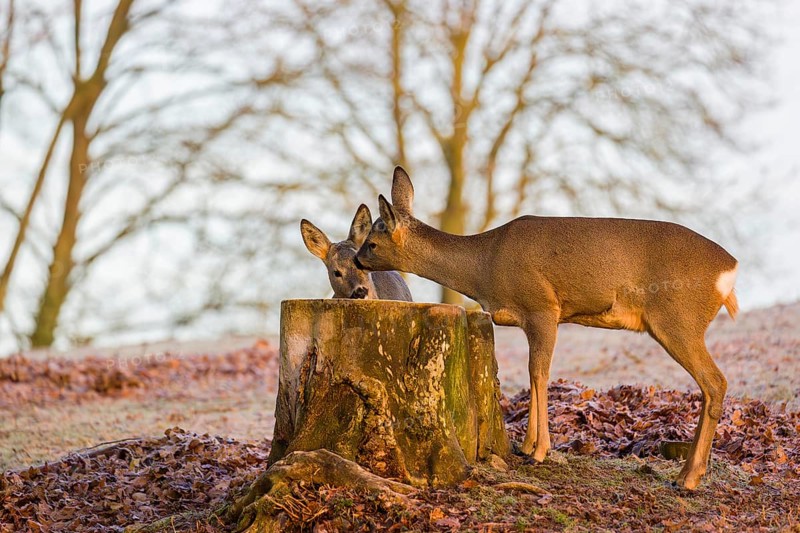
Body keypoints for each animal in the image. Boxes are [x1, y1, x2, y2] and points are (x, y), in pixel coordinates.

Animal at [354, 166, 739, 490]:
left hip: (679, 320)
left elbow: (539, 373)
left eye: (371, 242)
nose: (356, 260)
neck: (485, 266)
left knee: (715, 382)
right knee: (712, 385)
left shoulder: (543, 307)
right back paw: (689, 474)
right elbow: (532, 373)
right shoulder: (530, 318)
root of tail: (730, 269)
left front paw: (538, 450)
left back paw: (688, 478)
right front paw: (526, 446)